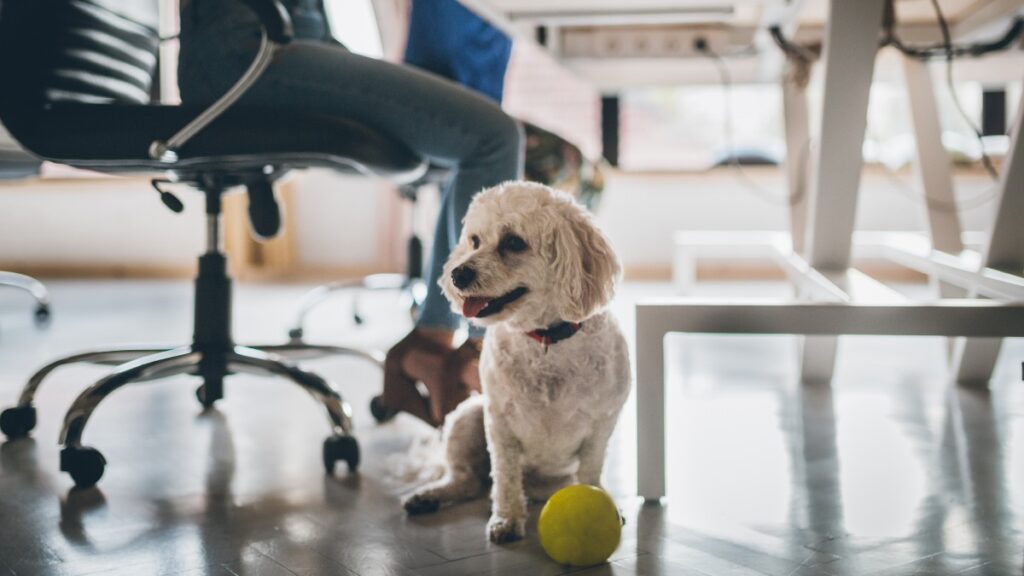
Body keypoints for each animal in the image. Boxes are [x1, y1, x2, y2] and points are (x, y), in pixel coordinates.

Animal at [401, 180, 630, 541]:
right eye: (474, 240)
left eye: (513, 242)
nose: (457, 274)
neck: (545, 339)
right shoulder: (500, 425)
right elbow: (506, 476)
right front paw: (507, 518)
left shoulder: (601, 425)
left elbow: (591, 472)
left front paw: (598, 501)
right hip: (467, 416)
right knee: (466, 480)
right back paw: (432, 496)